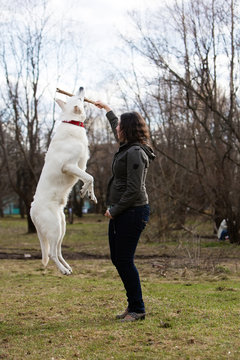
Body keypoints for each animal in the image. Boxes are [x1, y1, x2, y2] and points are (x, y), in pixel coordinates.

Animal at [30, 88, 97, 276]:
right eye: (78, 98)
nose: (81, 86)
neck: (72, 122)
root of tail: (32, 210)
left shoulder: (81, 165)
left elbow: (88, 177)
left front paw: (89, 193)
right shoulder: (69, 166)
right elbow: (90, 177)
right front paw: (84, 190)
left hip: (62, 226)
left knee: (58, 251)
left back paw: (67, 267)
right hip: (55, 228)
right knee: (52, 253)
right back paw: (63, 270)